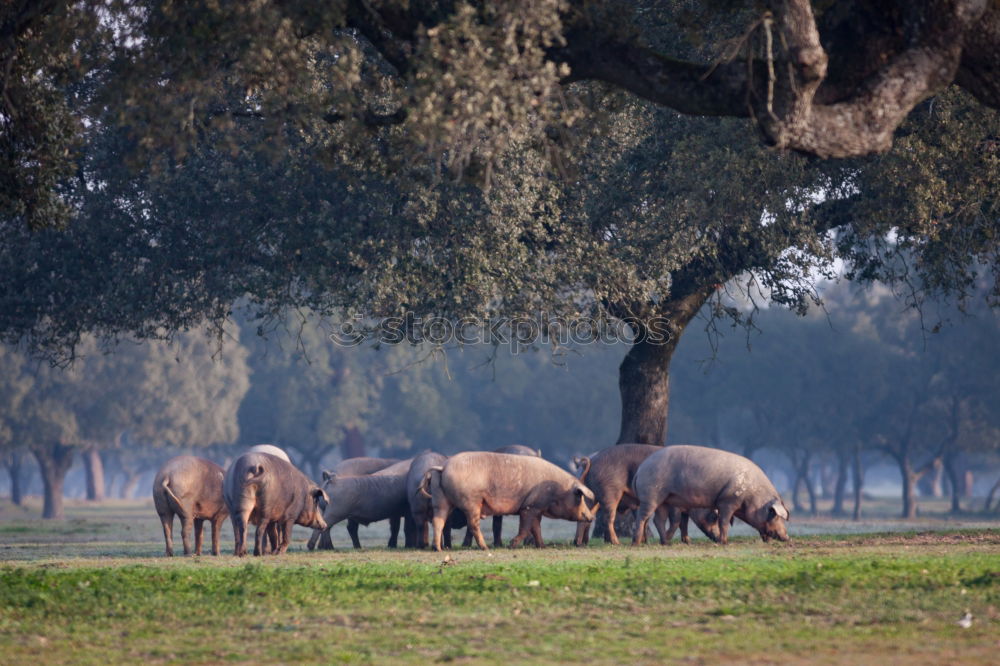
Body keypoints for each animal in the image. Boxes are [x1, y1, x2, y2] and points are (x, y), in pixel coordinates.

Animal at [420, 452, 592, 548]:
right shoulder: (529, 507)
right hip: (471, 501)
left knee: (438, 520)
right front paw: (512, 545)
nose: (591, 517)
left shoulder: (536, 508)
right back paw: (485, 548)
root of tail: (443, 467)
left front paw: (542, 546)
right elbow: (526, 527)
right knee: (472, 524)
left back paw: (438, 548)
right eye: (579, 496)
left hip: (440, 499)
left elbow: (536, 528)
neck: (555, 491)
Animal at [572, 446, 720, 544]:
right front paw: (667, 539)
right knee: (608, 518)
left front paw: (687, 541)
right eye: (713, 516)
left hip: (591, 495)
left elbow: (684, 522)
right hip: (610, 492)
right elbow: (676, 521)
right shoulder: (675, 504)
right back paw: (616, 542)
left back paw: (580, 543)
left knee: (586, 516)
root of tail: (591, 460)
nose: (718, 538)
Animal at [632, 444, 788, 544]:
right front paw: (723, 542)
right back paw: (637, 543)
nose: (787, 538)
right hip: (651, 495)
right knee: (642, 517)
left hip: (664, 500)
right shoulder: (727, 500)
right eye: (774, 515)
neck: (752, 494)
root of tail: (640, 469)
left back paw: (665, 542)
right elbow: (724, 521)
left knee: (658, 519)